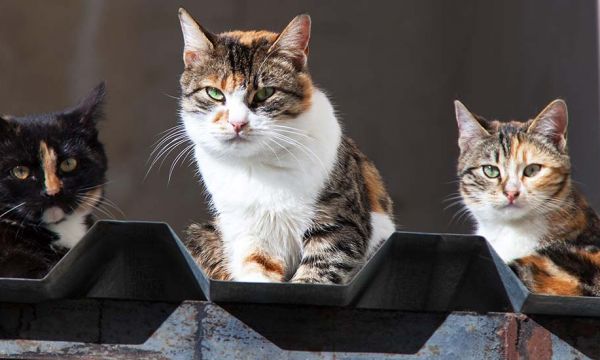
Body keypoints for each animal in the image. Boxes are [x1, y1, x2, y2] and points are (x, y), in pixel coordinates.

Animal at [177, 8, 394, 282]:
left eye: (265, 93)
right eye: (214, 93)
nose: (237, 123)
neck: (257, 168)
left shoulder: (340, 223)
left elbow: (317, 273)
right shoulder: (249, 233)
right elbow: (256, 269)